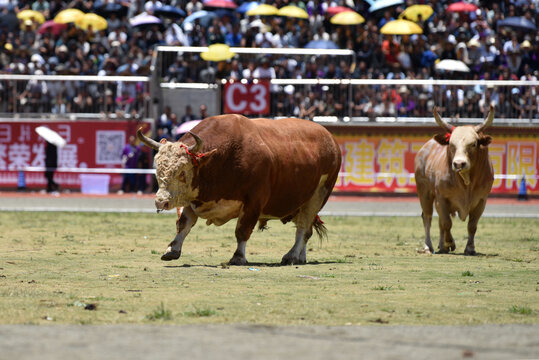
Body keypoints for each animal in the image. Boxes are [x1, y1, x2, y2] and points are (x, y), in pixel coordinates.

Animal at [138, 114, 342, 264]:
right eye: (158, 168)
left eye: (181, 171)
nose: (161, 201)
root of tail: (330, 140)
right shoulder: (193, 198)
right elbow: (184, 224)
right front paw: (172, 249)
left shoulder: (254, 201)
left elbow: (242, 230)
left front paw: (238, 256)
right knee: (307, 229)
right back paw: (301, 257)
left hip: (317, 196)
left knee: (303, 228)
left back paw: (291, 255)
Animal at [416, 105, 496, 255]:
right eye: (451, 144)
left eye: (474, 144)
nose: (459, 164)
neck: (466, 182)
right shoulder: (441, 199)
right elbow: (447, 223)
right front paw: (449, 242)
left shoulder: (481, 200)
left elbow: (472, 225)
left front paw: (470, 248)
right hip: (425, 193)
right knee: (427, 217)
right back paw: (428, 246)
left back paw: (441, 246)